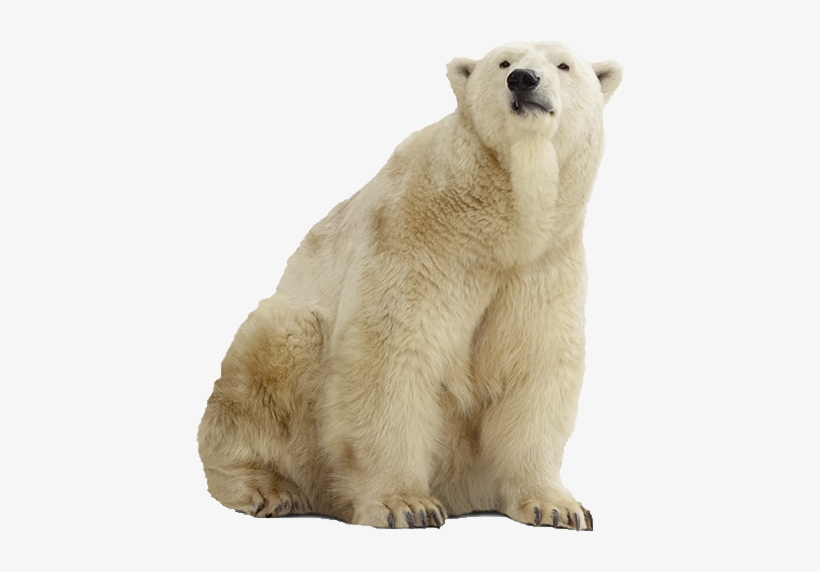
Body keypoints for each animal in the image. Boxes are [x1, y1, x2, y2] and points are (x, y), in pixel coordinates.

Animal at [197, 41, 622, 529]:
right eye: (504, 62)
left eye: (564, 65)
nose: (524, 80)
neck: (501, 226)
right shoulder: (416, 237)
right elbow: (392, 356)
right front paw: (407, 504)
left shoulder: (543, 264)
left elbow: (536, 365)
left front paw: (558, 507)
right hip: (286, 351)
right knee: (276, 348)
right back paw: (270, 489)